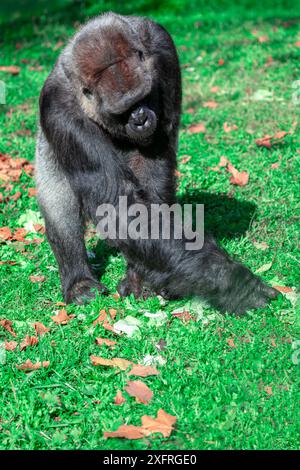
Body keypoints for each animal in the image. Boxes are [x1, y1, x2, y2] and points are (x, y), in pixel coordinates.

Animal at [34, 11, 276, 312]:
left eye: (142, 96)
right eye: (122, 111)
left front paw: (141, 278)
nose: (140, 119)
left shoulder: (162, 51)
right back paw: (78, 280)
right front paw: (234, 283)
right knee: (60, 207)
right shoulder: (59, 110)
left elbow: (151, 180)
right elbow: (119, 209)